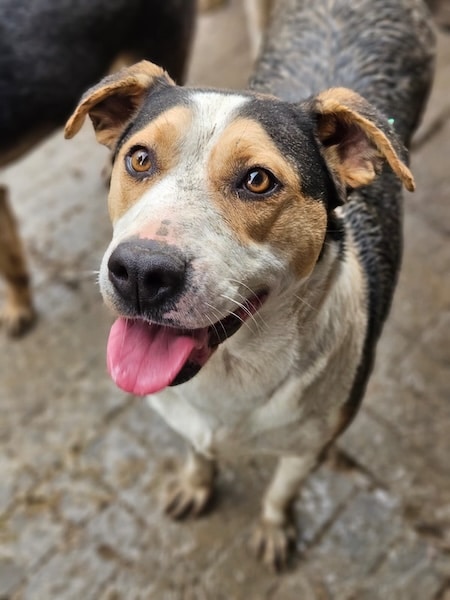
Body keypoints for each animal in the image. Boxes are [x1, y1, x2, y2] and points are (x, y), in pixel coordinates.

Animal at [65, 0, 435, 570]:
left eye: (259, 180)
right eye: (139, 158)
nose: (141, 273)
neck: (234, 369)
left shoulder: (310, 448)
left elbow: (281, 492)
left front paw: (274, 530)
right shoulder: (186, 419)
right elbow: (198, 452)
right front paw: (196, 484)